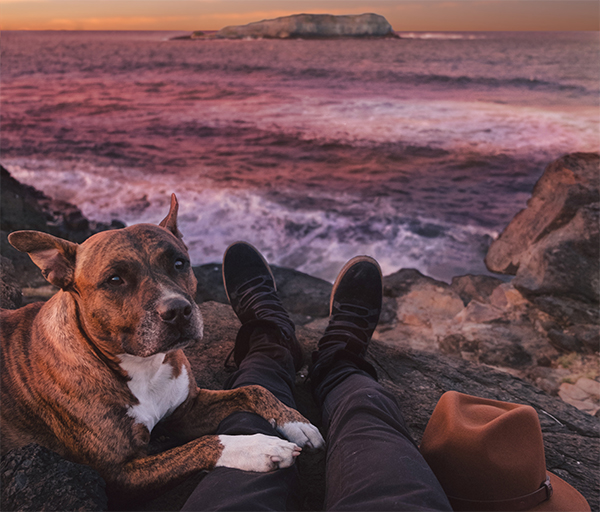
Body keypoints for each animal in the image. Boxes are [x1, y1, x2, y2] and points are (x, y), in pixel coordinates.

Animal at [1, 195, 324, 504]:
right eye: (114, 280)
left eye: (179, 263)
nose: (178, 310)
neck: (142, 367)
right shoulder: (119, 475)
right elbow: (203, 444)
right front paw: (257, 447)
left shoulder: (187, 409)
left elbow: (253, 389)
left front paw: (295, 421)